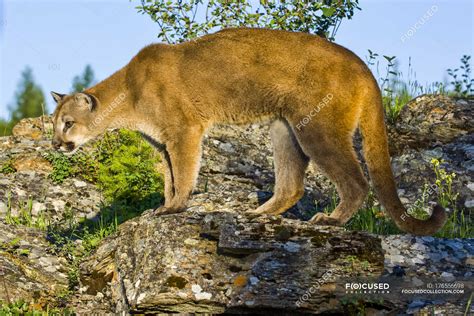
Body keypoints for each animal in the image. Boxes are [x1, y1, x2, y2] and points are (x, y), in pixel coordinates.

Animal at [50, 27, 446, 235]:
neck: (128, 93)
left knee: (357, 181)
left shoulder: (184, 130)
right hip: (285, 128)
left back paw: (330, 220)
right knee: (292, 184)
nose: (55, 144)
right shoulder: (162, 143)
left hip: (318, 129)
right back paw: (258, 214)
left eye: (67, 123)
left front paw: (175, 207)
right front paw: (163, 205)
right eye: (55, 123)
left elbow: (184, 172)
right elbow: (169, 176)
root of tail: (361, 64)